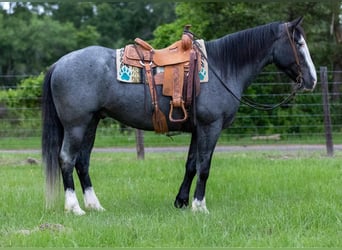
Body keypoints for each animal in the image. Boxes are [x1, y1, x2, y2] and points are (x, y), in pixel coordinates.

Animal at [42, 17, 318, 215]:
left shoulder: (198, 129)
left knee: (82, 161)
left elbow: (191, 165)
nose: (312, 80)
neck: (222, 67)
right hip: (76, 125)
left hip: (91, 123)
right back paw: (74, 208)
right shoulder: (210, 127)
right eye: (299, 44)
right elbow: (205, 166)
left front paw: (182, 202)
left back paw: (94, 205)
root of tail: (59, 63)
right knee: (67, 159)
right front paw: (199, 206)